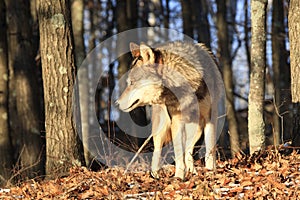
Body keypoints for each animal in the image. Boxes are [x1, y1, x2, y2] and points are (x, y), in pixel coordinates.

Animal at [116, 41, 221, 180]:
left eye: (132, 82)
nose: (116, 103)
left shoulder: (210, 118)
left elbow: (209, 149)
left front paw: (210, 173)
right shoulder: (176, 121)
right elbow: (178, 153)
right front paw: (179, 178)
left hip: (196, 129)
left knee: (188, 151)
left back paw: (192, 172)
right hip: (161, 128)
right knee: (157, 151)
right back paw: (155, 175)